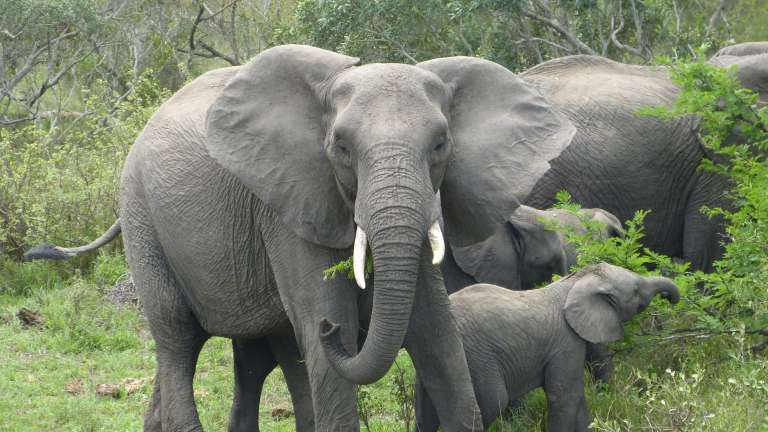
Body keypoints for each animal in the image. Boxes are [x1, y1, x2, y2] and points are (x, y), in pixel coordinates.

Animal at [25, 44, 576, 431]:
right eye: (341, 147)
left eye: (441, 144)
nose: (337, 330)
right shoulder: (287, 201)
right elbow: (320, 324)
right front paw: (330, 323)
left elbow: (435, 331)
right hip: (143, 219)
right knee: (178, 337)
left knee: (258, 359)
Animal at [415, 263, 681, 431]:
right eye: (636, 291)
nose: (673, 300)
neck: (576, 280)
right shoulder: (565, 342)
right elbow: (565, 395)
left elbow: (577, 395)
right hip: (476, 354)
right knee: (492, 402)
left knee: (425, 414)